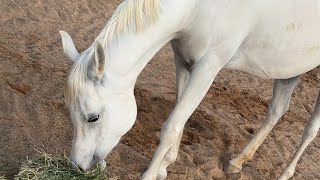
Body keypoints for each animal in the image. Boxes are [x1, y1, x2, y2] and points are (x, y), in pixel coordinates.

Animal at [58, 0, 318, 179]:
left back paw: (285, 174)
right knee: (276, 112)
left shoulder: (207, 68)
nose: (77, 165)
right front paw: (164, 167)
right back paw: (237, 162)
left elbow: (171, 126)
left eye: (93, 117)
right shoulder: (183, 61)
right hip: (289, 70)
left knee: (310, 131)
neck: (200, 8)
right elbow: (179, 122)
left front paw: (150, 174)